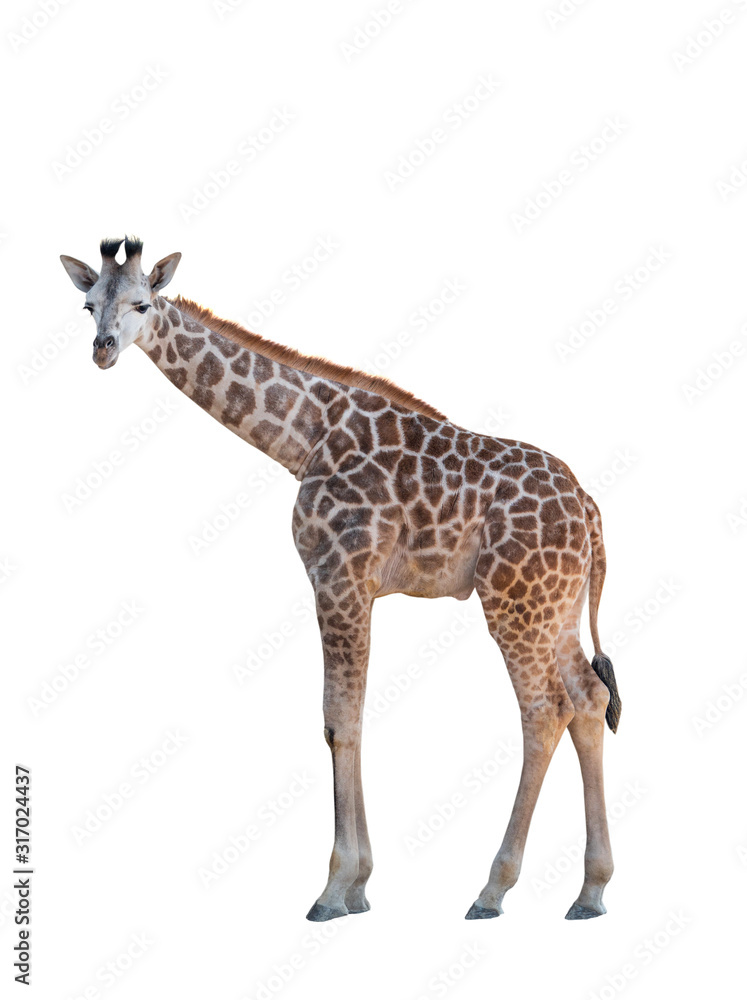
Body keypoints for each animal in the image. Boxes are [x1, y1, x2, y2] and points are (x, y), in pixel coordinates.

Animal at [60, 237, 622, 922]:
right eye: (88, 305)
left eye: (142, 303)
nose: (103, 349)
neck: (302, 437)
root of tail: (588, 508)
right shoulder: (353, 587)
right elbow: (348, 716)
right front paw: (359, 886)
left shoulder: (338, 576)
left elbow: (338, 721)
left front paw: (335, 888)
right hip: (554, 604)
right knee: (589, 698)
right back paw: (590, 891)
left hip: (513, 602)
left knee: (545, 709)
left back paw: (492, 890)